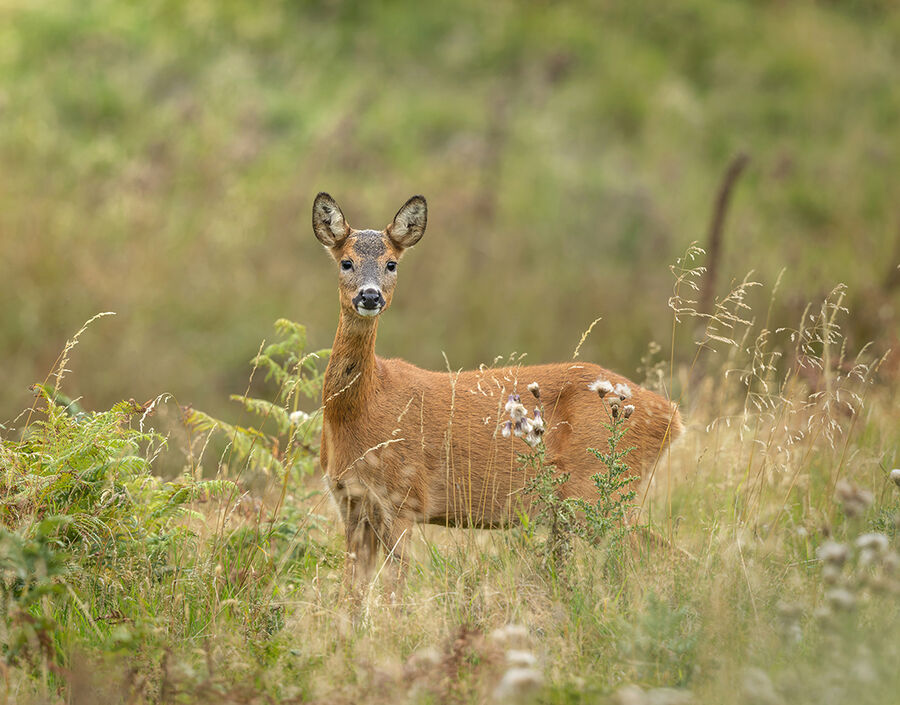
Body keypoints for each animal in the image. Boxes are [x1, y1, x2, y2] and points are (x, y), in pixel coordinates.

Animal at [312, 192, 683, 593]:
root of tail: (672, 417)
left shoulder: (404, 496)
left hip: (599, 490)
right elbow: (350, 592)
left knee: (651, 554)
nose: (370, 296)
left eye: (391, 264)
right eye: (346, 261)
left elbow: (395, 588)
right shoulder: (349, 501)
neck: (361, 409)